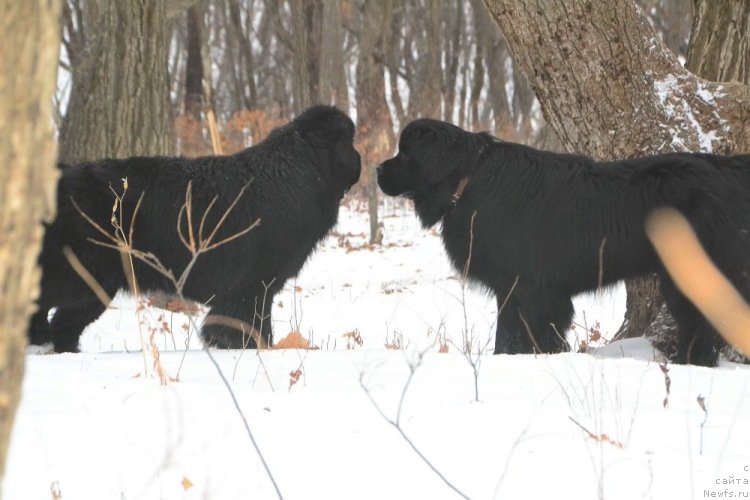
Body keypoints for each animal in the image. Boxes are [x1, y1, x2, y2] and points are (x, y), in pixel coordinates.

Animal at [27, 105, 362, 352]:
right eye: (350, 142)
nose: (361, 159)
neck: (299, 171)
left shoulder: (258, 286)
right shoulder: (253, 284)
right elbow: (247, 318)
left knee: (57, 319)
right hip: (83, 276)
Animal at [378, 119, 750, 366]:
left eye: (404, 154)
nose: (377, 170)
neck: (467, 179)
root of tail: (728, 167)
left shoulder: (530, 290)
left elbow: (525, 334)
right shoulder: (517, 290)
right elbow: (513, 334)